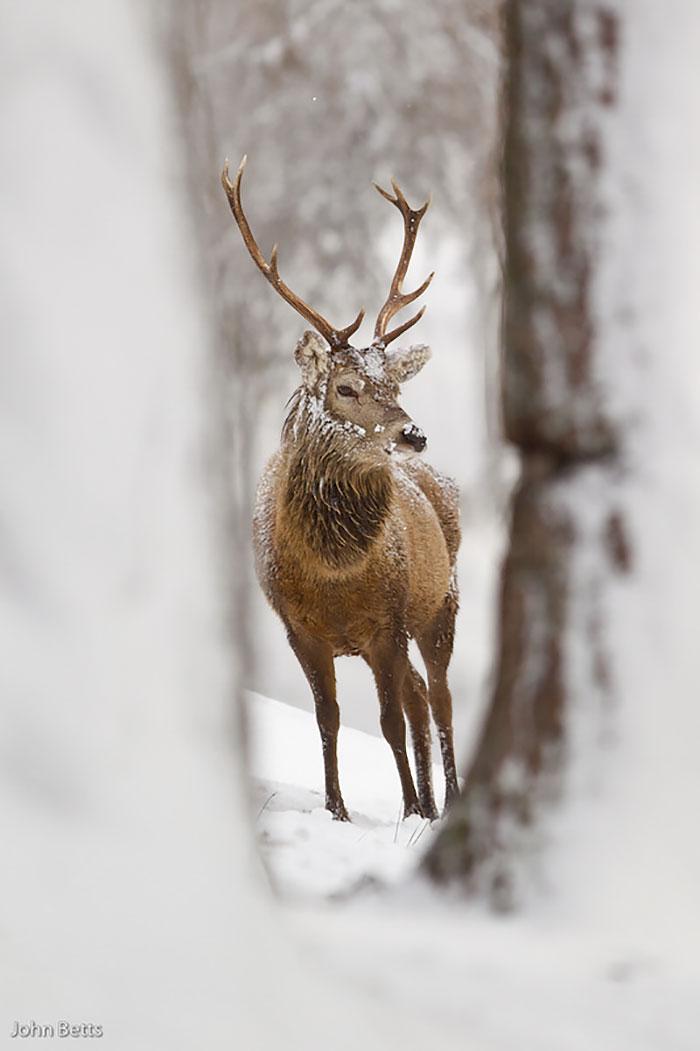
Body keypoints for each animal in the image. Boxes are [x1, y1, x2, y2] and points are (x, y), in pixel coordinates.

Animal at [222, 156, 460, 822]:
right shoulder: (299, 629)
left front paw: (408, 810)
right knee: (419, 695)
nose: (413, 433)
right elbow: (327, 718)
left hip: (441, 603)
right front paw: (337, 808)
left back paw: (448, 799)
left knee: (440, 698)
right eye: (346, 387)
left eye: (392, 383)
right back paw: (432, 801)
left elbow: (387, 721)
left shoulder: (390, 621)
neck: (335, 575)